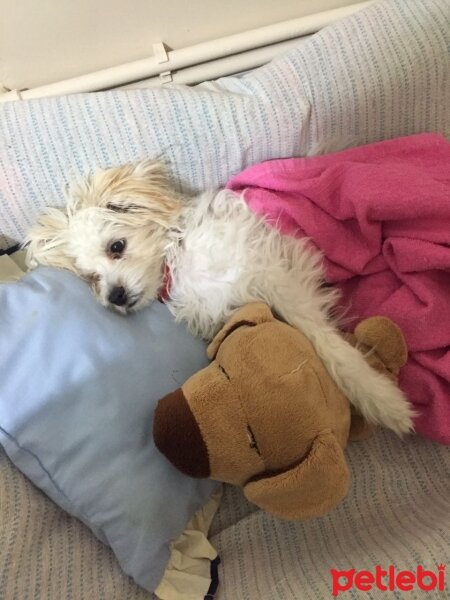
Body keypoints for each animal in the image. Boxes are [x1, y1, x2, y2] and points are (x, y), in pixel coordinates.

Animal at [25, 162, 414, 434]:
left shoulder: (278, 276)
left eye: (116, 247)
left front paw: (380, 399)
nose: (116, 296)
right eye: (91, 278)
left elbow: (324, 342)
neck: (178, 259)